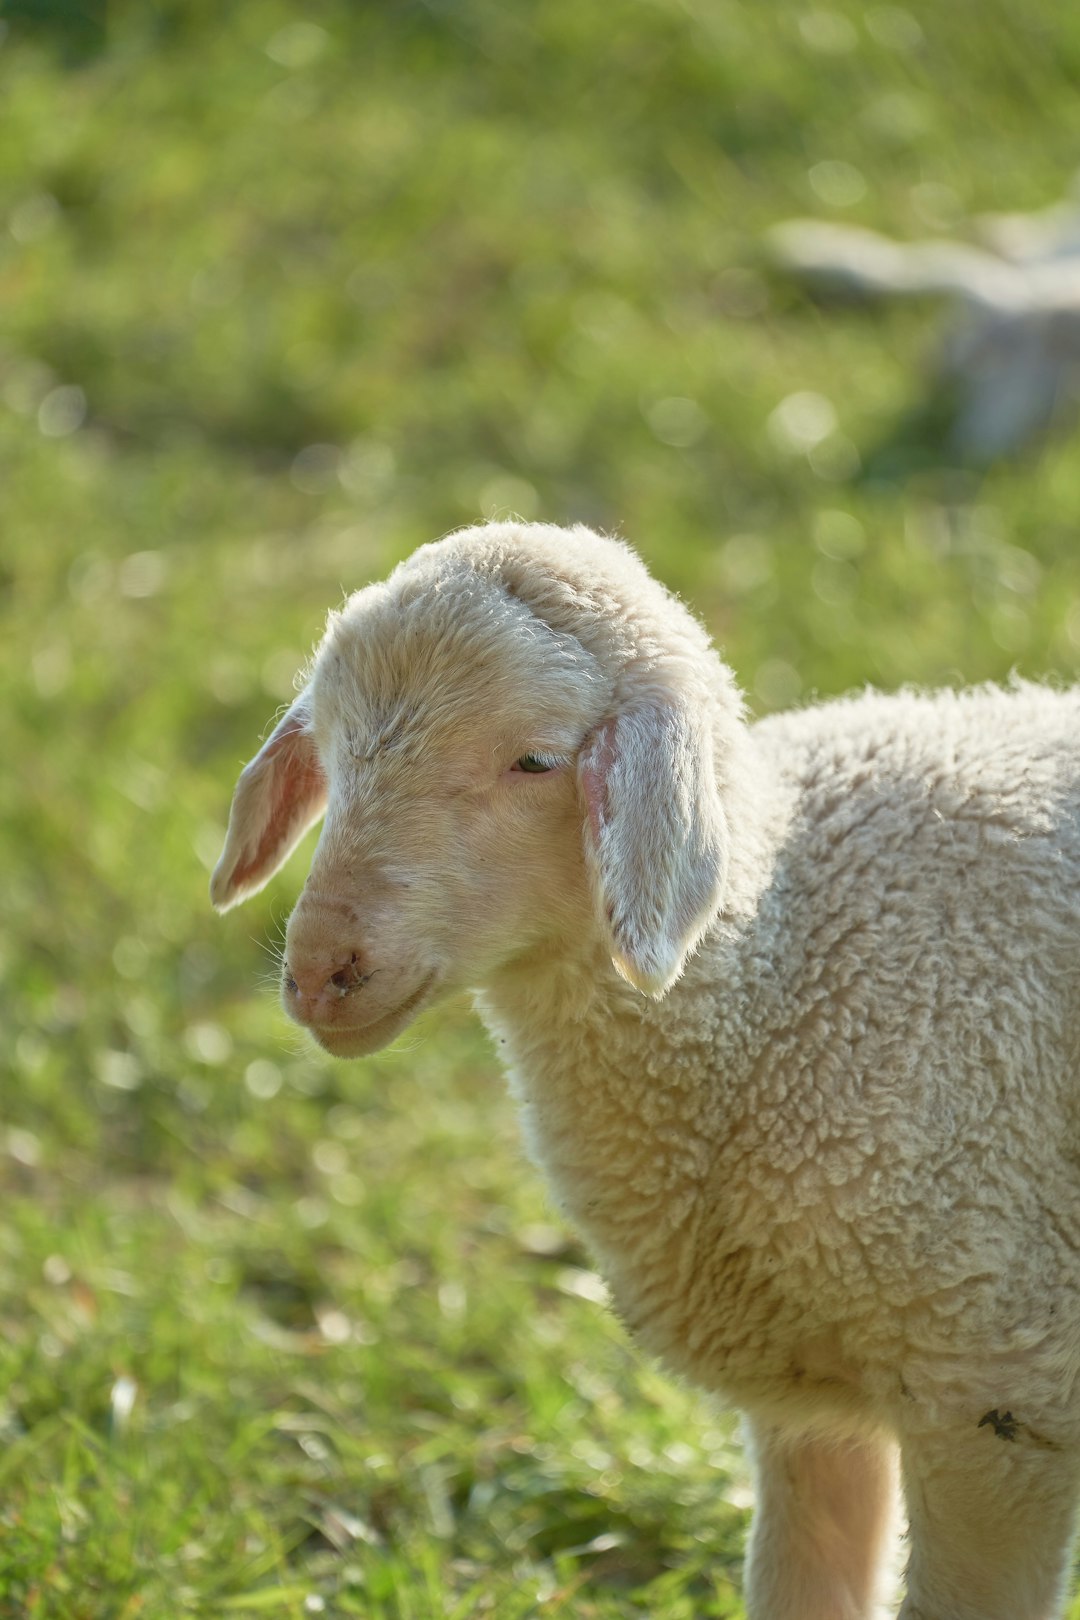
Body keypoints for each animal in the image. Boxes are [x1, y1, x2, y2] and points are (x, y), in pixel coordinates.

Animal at [213, 521, 1080, 1620]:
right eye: (327, 746)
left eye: (536, 760)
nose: (323, 971)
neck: (784, 959)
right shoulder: (813, 1402)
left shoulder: (997, 1390)